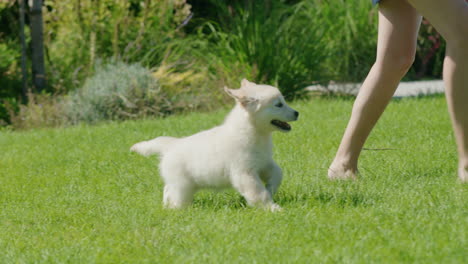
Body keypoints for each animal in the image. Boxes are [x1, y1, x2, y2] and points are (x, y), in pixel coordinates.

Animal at [131, 78, 300, 210]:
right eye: (278, 105)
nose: (297, 113)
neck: (253, 132)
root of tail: (170, 145)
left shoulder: (264, 163)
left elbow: (278, 173)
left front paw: (271, 188)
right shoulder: (245, 173)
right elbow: (259, 193)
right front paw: (273, 208)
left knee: (167, 190)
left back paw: (166, 207)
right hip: (182, 185)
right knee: (176, 198)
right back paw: (177, 210)